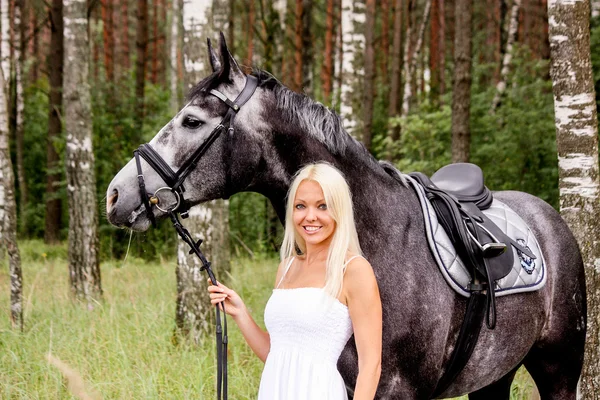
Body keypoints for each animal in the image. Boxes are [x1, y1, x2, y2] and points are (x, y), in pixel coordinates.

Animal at [106, 36, 584, 398]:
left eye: (191, 121)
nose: (115, 194)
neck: (379, 241)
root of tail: (549, 218)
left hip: (559, 369)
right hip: (494, 376)